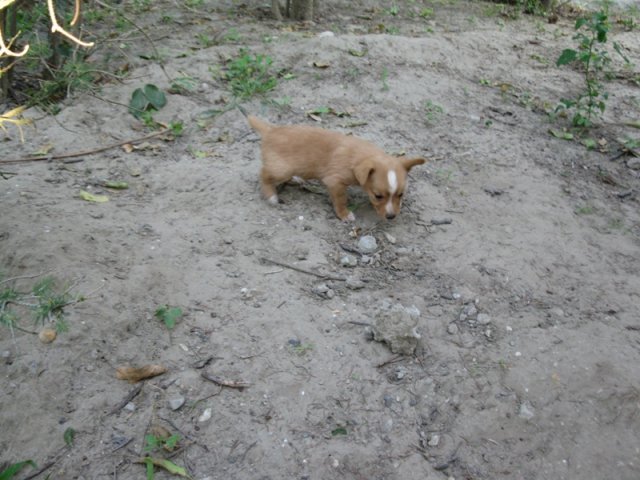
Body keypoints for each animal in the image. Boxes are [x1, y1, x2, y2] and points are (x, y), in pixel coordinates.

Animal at [248, 115, 425, 221]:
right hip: (281, 170)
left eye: (401, 195)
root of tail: (270, 130)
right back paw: (271, 195)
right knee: (264, 174)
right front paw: (344, 214)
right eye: (378, 196)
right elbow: (340, 200)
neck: (359, 156)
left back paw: (296, 179)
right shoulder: (335, 182)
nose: (391, 216)